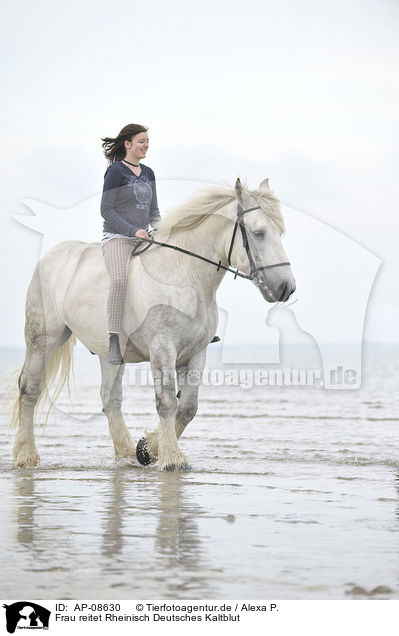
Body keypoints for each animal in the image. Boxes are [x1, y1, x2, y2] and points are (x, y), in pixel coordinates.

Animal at [10, 176, 296, 470]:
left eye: (280, 232)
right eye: (259, 233)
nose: (286, 288)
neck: (186, 274)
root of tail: (50, 257)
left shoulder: (196, 353)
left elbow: (188, 407)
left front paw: (147, 449)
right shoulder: (163, 348)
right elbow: (167, 400)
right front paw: (171, 459)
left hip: (109, 353)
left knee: (110, 400)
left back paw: (125, 454)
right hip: (43, 339)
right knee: (29, 388)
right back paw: (26, 454)